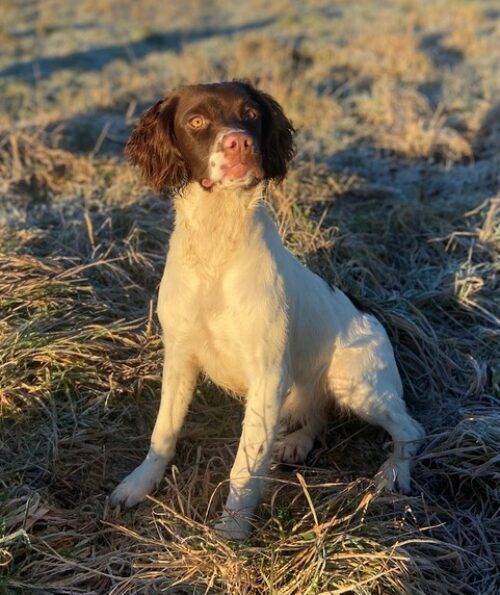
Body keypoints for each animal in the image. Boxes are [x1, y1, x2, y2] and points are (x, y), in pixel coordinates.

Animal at [110, 80, 426, 540]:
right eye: (196, 121)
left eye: (251, 114)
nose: (239, 142)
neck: (217, 247)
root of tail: (371, 314)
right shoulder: (180, 356)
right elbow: (163, 432)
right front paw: (140, 484)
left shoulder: (267, 374)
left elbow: (245, 463)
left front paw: (231, 532)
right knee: (317, 415)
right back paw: (296, 441)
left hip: (357, 385)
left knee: (410, 429)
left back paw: (393, 474)